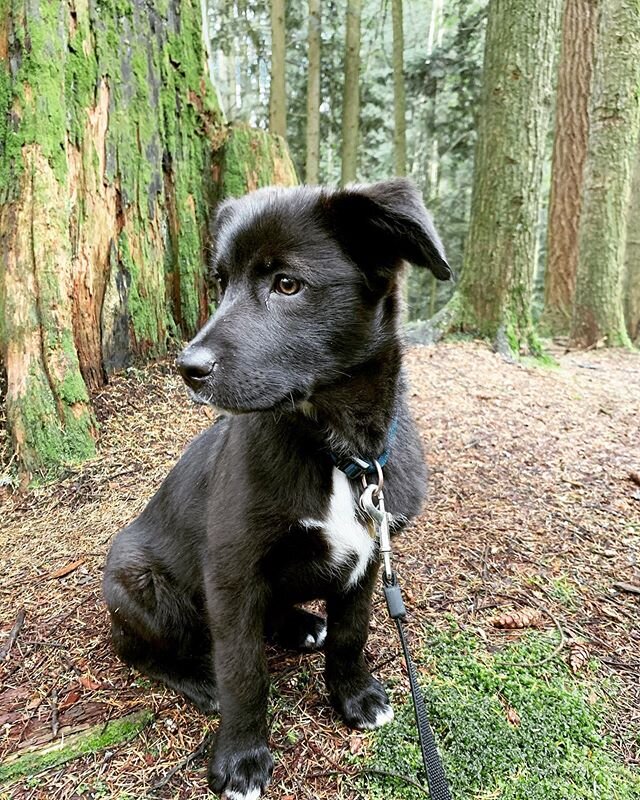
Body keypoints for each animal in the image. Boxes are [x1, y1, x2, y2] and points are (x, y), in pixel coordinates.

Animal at [102, 178, 450, 796]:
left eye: (287, 284)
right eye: (221, 283)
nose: (187, 368)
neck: (340, 455)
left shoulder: (369, 555)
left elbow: (352, 633)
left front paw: (354, 695)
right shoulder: (231, 571)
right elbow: (244, 670)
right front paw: (241, 757)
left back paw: (300, 624)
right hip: (138, 584)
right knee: (141, 651)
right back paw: (198, 679)